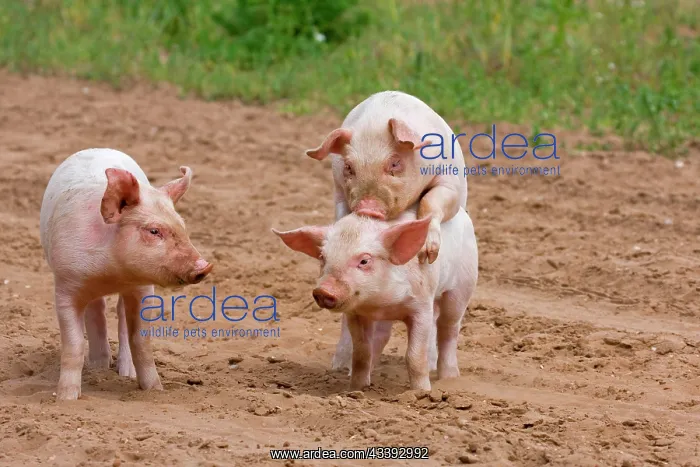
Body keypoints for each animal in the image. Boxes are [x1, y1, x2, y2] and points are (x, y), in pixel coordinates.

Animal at [39, 148, 213, 400]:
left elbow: (141, 341)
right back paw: (99, 367)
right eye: (154, 231)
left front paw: (154, 390)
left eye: (183, 227)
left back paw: (124, 372)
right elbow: (74, 345)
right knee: (97, 310)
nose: (204, 266)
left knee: (119, 316)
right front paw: (66, 399)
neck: (111, 274)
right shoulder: (65, 284)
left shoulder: (143, 289)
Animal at [272, 205, 478, 391]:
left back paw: (449, 378)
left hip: (462, 286)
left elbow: (415, 355)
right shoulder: (355, 314)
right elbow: (361, 353)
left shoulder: (422, 305)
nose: (323, 290)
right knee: (382, 337)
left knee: (448, 327)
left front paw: (422, 392)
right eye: (323, 257)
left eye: (364, 261)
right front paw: (356, 389)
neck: (381, 303)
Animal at [304, 91, 468, 371]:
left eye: (394, 163)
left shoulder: (451, 182)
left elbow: (431, 201)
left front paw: (428, 253)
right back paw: (341, 366)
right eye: (349, 167)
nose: (368, 208)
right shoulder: (339, 189)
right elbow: (343, 217)